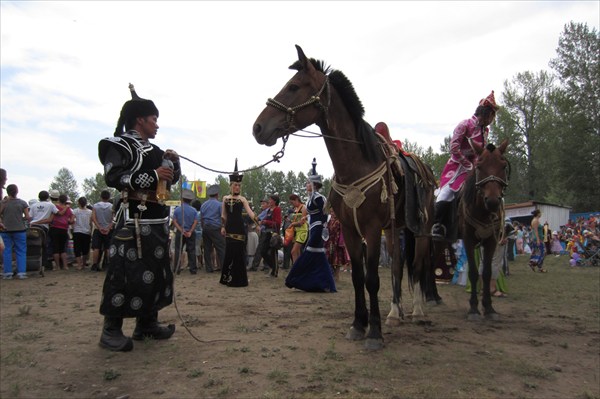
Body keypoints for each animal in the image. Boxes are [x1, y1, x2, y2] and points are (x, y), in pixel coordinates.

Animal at [251, 44, 434, 350]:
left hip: (419, 229)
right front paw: (358, 325)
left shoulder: (371, 229)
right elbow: (359, 277)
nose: (257, 128)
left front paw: (374, 333)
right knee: (397, 265)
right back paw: (395, 313)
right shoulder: (350, 229)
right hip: (393, 229)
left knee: (418, 266)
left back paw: (419, 311)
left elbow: (372, 279)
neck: (357, 163)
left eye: (293, 86)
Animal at [458, 139, 508, 320]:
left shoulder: (491, 241)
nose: (492, 201)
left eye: (503, 166)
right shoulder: (468, 240)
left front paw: (488, 307)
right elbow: (473, 272)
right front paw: (473, 308)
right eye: (479, 166)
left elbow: (486, 272)